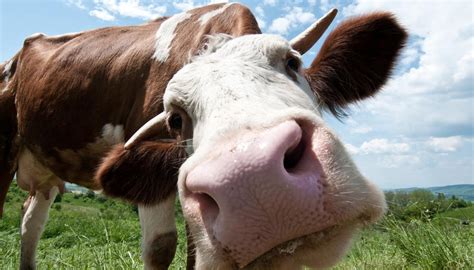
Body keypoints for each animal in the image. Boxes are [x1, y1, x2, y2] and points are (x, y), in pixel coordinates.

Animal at [0, 2, 408, 270]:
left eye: (293, 63)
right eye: (175, 119)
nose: (256, 183)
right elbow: (161, 248)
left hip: (46, 173)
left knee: (30, 223)